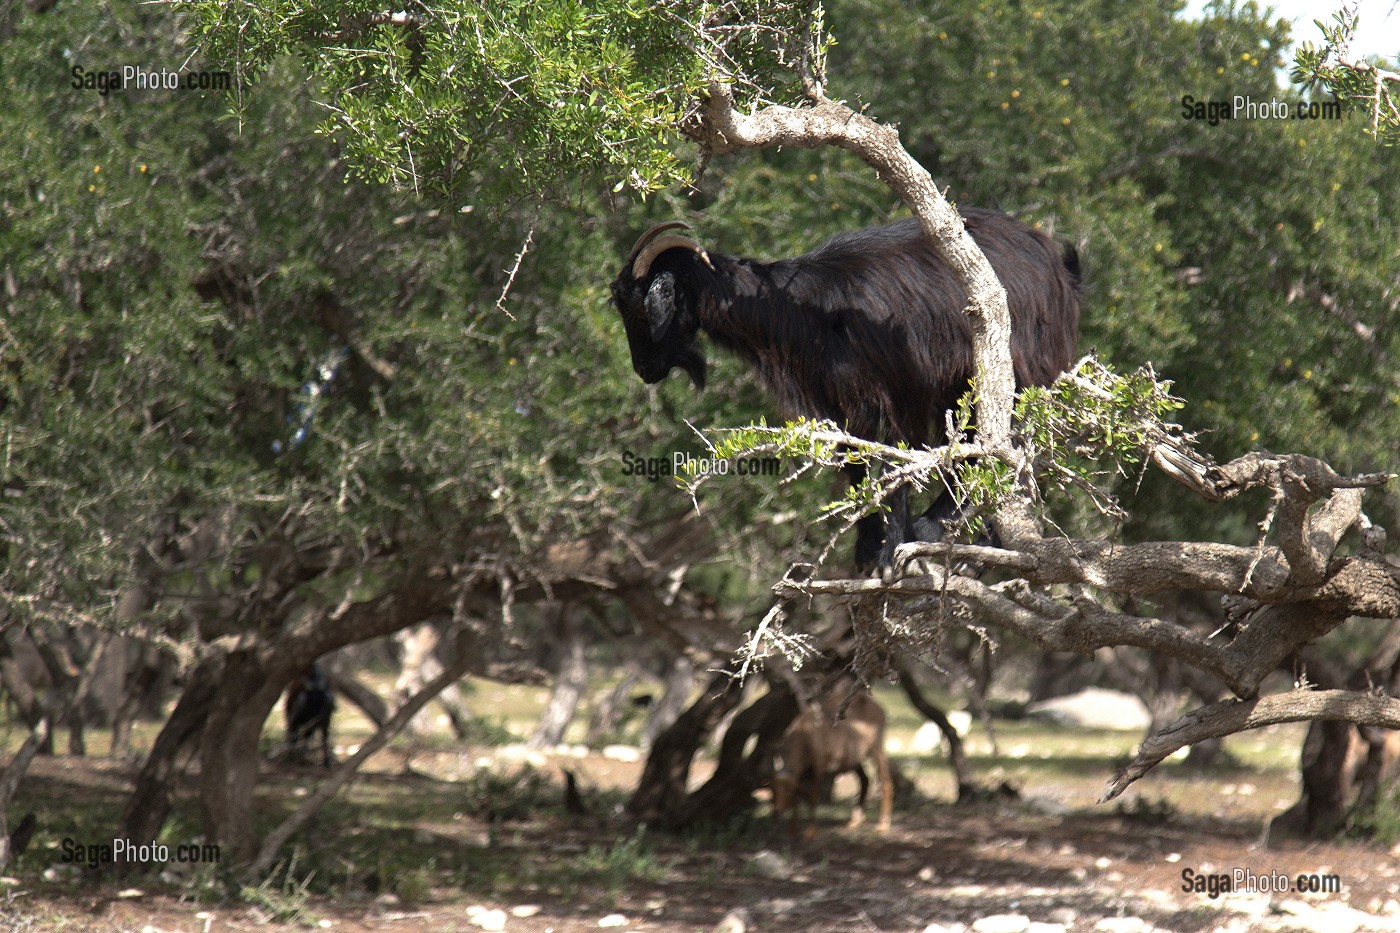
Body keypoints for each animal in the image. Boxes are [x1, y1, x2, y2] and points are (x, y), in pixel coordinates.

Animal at [613, 210, 1080, 565]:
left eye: (641, 308)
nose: (644, 370)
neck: (807, 310)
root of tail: (1055, 258)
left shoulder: (897, 391)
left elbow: (898, 464)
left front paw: (891, 551)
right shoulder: (837, 401)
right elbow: (854, 466)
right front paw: (866, 548)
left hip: (1017, 368)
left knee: (1013, 441)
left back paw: (971, 538)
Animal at [772, 686, 890, 829]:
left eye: (787, 789)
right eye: (773, 789)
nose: (776, 813)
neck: (806, 733)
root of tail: (880, 709)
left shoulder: (819, 766)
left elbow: (814, 796)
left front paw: (810, 831)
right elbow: (799, 797)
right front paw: (793, 829)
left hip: (876, 749)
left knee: (886, 780)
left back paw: (883, 825)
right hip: (856, 760)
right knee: (865, 780)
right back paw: (855, 820)